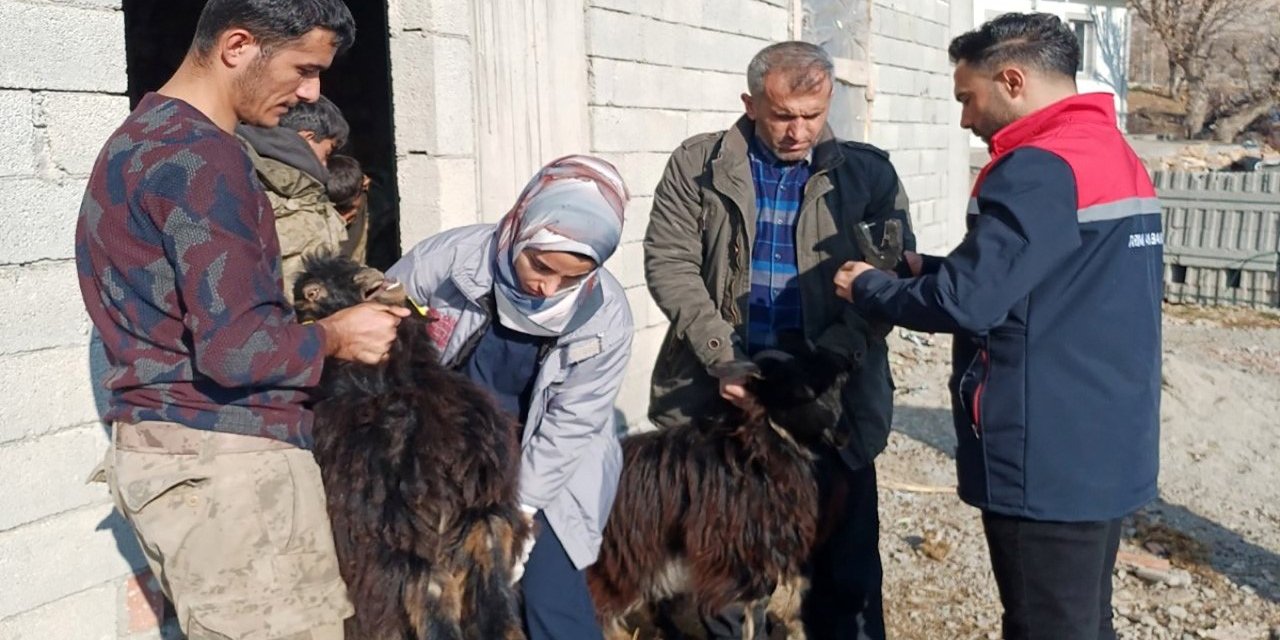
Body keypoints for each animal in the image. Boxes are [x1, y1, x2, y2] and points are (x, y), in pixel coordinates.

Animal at [293, 254, 529, 640]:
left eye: (350, 265)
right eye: (314, 292)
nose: (369, 275)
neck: (388, 390)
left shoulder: (487, 523)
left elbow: (502, 619)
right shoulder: (406, 557)